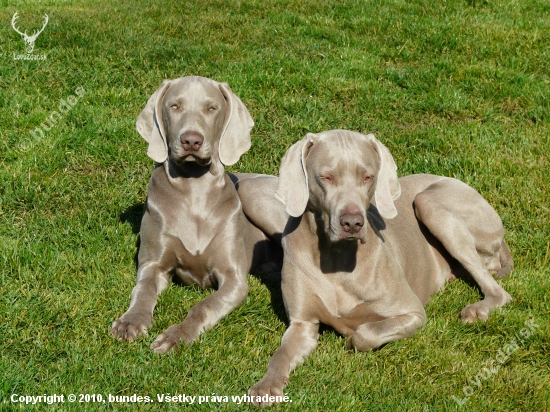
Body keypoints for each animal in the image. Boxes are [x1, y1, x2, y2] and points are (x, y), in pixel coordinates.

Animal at [109, 75, 280, 352]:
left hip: (254, 195)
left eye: (212, 108)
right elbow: (143, 289)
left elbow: (204, 306)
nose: (191, 140)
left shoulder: (233, 279)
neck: (194, 191)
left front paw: (177, 335)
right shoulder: (152, 264)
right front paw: (131, 321)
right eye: (174, 106)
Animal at [248, 130, 516, 406]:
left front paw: (352, 336)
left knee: (498, 290)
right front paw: (267, 385)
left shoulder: (413, 313)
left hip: (430, 202)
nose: (352, 223)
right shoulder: (302, 324)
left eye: (368, 177)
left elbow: (364, 334)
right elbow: (281, 353)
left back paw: (477, 309)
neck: (336, 257)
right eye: (326, 177)